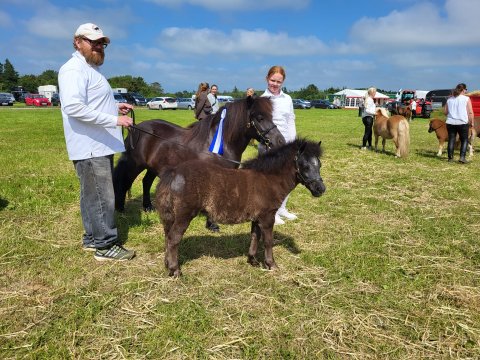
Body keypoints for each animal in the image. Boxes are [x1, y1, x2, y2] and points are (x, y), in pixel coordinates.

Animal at [112, 96, 284, 214]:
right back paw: (120, 208)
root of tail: (135, 128)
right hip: (135, 164)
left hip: (153, 167)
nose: (280, 141)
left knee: (146, 182)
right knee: (125, 181)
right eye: (260, 117)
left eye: (271, 116)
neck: (220, 144)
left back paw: (148, 207)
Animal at [158, 139, 326, 278]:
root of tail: (173, 172)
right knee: (173, 239)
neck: (268, 179)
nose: (321, 189)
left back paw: (167, 265)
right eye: (305, 165)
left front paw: (253, 261)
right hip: (184, 216)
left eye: (319, 164)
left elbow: (255, 236)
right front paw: (271, 265)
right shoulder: (267, 217)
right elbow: (268, 241)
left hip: (171, 216)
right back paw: (175, 270)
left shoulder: (257, 217)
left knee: (167, 236)